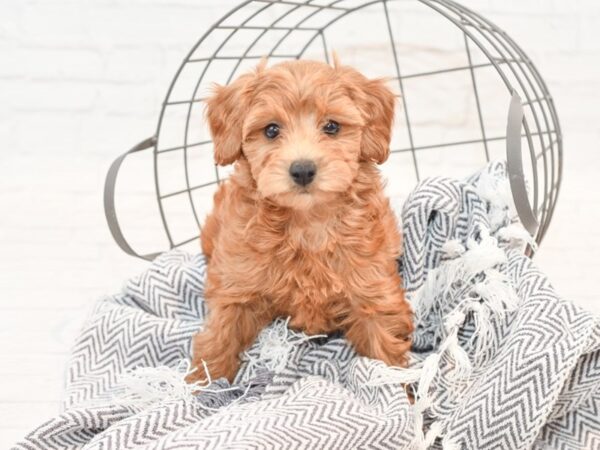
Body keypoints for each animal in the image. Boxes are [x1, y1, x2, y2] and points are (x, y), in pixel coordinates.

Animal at [188, 59, 412, 384]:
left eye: (331, 126)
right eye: (271, 130)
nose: (303, 169)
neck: (308, 223)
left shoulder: (373, 290)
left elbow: (385, 349)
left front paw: (402, 392)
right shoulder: (236, 285)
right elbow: (219, 337)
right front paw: (198, 387)